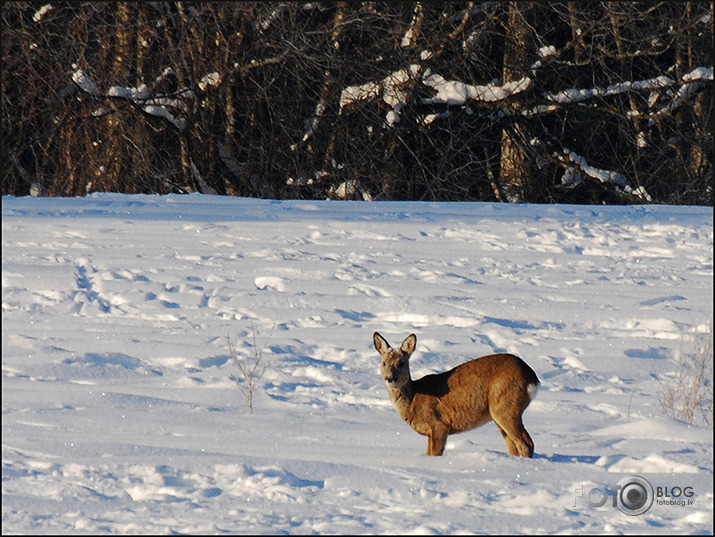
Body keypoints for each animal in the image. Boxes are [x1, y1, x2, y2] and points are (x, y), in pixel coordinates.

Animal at [374, 330, 536, 456]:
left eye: (401, 363)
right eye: (384, 363)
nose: (390, 378)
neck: (414, 398)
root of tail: (532, 377)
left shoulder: (440, 424)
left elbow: (434, 453)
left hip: (505, 406)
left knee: (526, 443)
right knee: (513, 445)